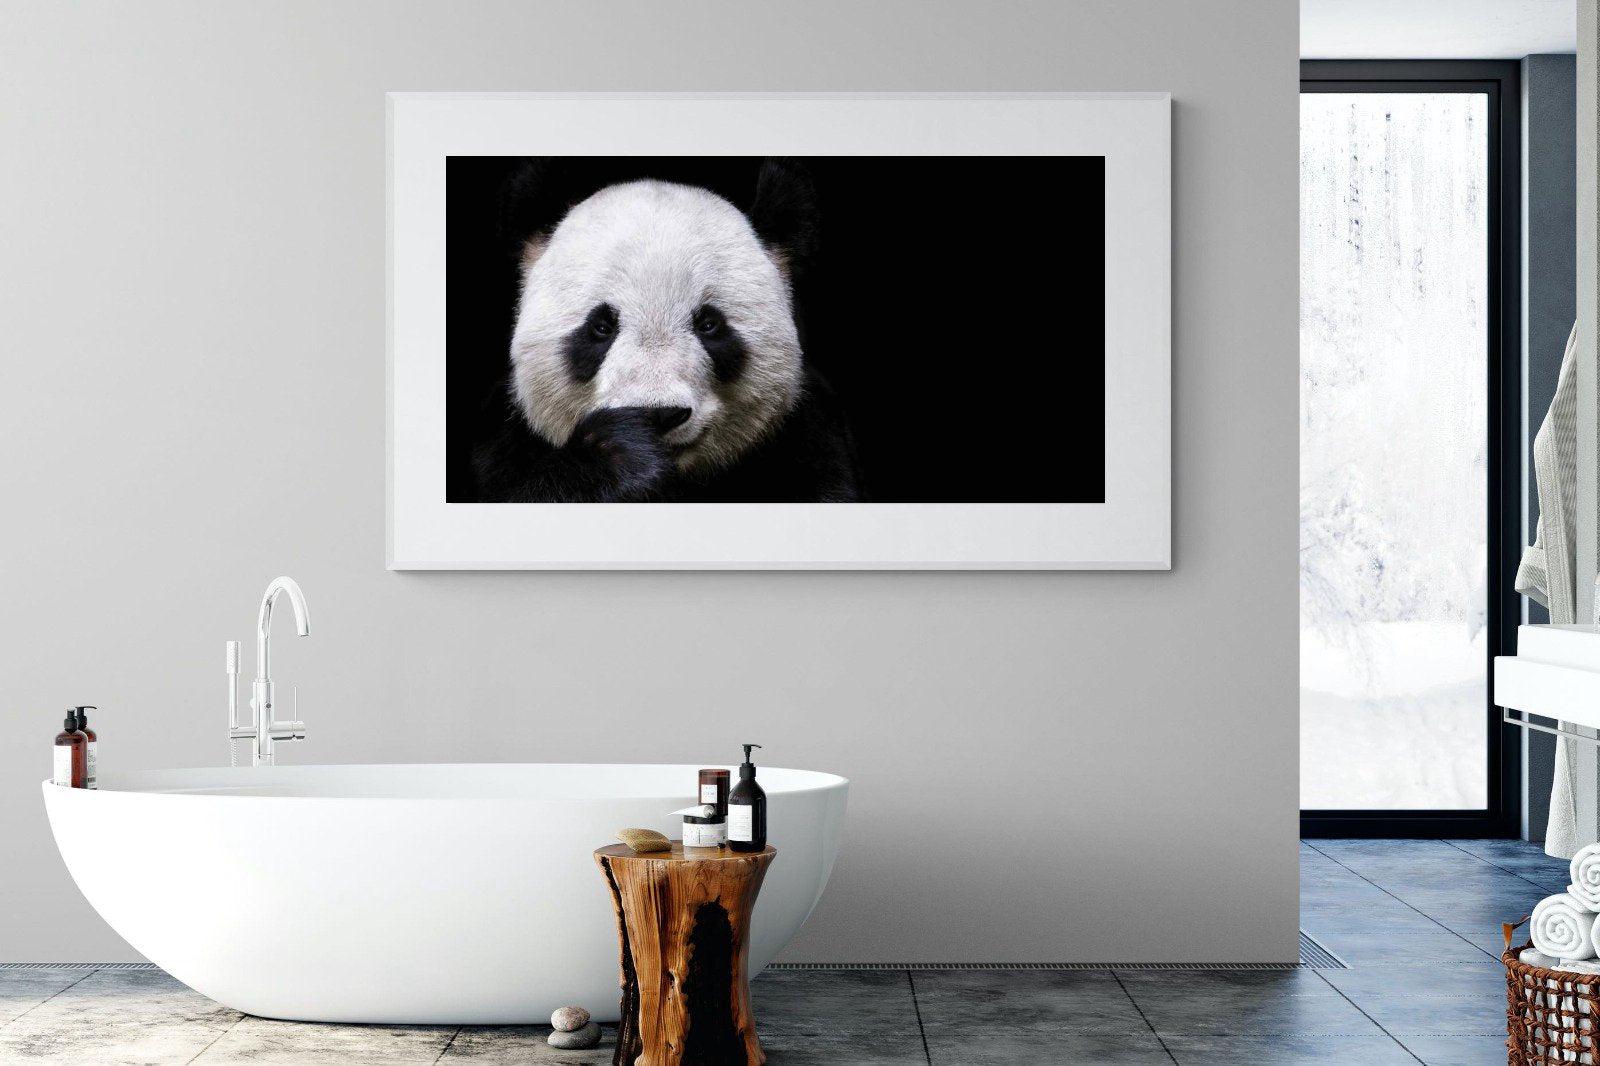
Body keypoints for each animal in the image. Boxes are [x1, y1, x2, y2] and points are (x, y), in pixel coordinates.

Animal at [471, 160, 863, 503]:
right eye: (601, 327)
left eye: (709, 325)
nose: (658, 414)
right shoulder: (504, 446)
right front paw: (621, 453)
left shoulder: (809, 442)